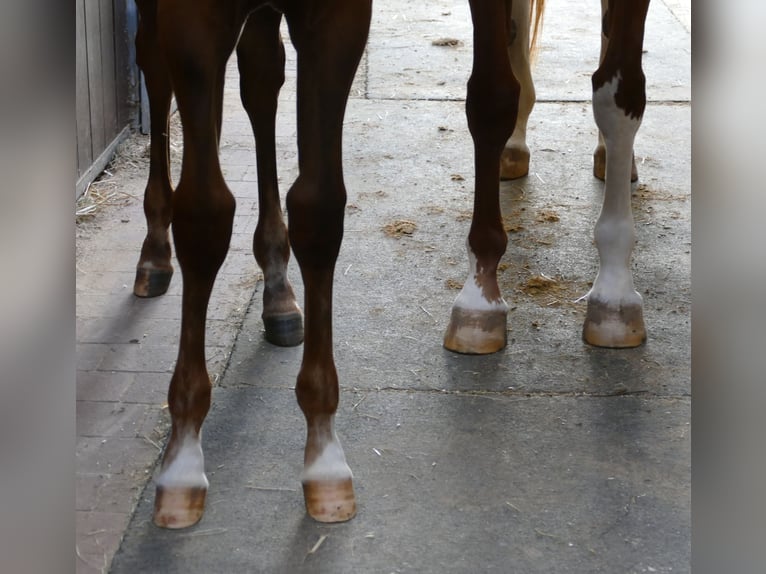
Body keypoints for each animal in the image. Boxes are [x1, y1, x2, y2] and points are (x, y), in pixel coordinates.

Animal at [132, 1, 656, 532]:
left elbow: (618, 96)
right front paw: (183, 462)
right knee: (161, 62)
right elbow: (204, 214)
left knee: (260, 78)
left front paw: (614, 297)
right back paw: (158, 253)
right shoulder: (193, 18)